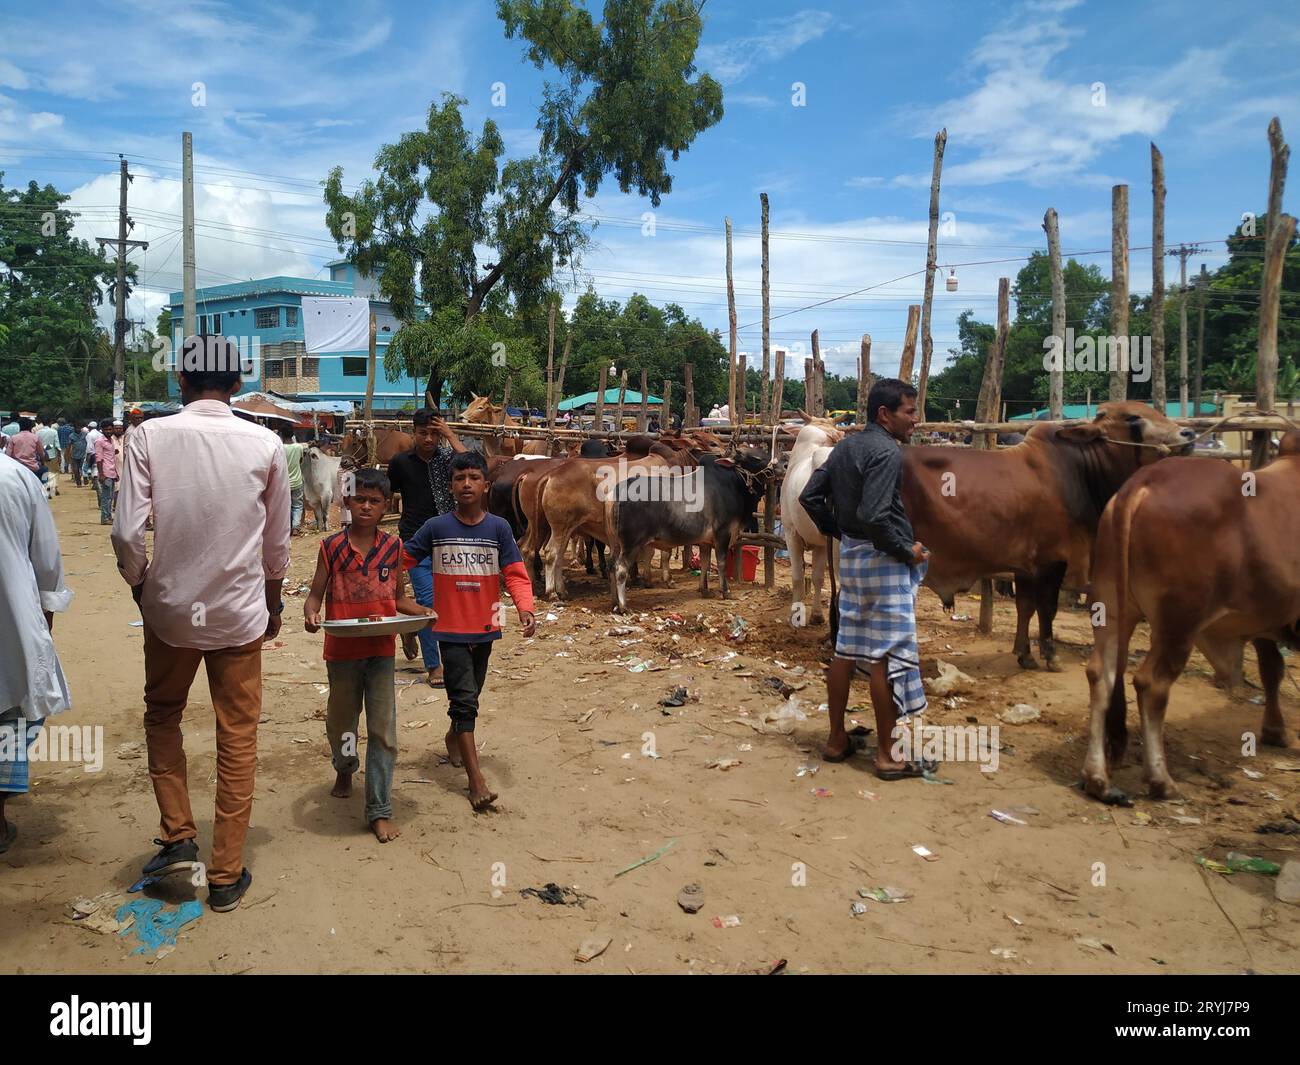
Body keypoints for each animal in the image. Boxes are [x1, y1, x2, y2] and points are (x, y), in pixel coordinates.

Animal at [774, 423, 837, 624]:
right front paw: (817, 614)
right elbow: (817, 577)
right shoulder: (822, 544)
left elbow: (797, 576)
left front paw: (795, 614)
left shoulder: (790, 532)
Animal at [904, 403, 1196, 670]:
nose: (1188, 433)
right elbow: (1047, 608)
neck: (1081, 471)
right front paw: (1050, 654)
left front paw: (1025, 654)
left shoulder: (1024, 567)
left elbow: (1025, 607)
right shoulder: (1053, 560)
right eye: (1133, 418)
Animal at [1076, 431, 1300, 801]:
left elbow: (1272, 670)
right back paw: (1160, 779)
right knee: (1151, 684)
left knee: (1101, 675)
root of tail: (1142, 483)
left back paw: (1097, 777)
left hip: (1111, 608)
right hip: (1180, 621)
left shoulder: (1267, 618)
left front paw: (1275, 731)